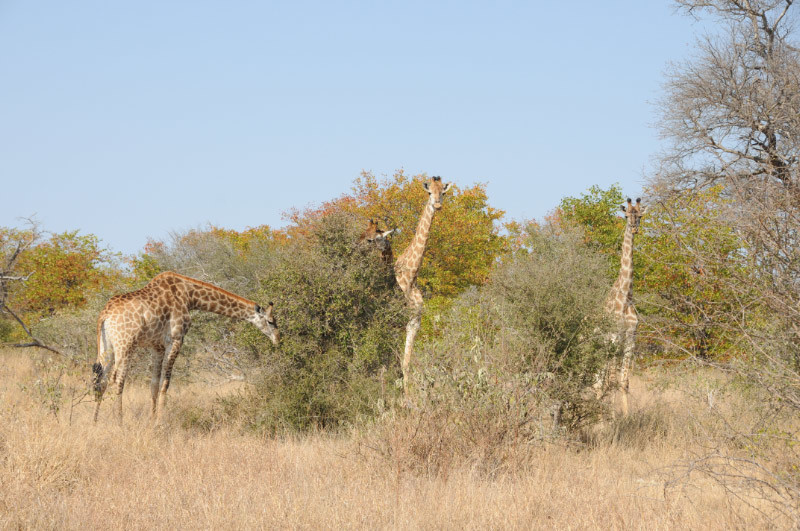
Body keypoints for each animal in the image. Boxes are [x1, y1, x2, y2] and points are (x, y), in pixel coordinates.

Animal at [90, 270, 276, 424]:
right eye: (271, 321)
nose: (278, 339)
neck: (190, 296)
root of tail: (104, 314)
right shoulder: (176, 339)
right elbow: (166, 383)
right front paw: (160, 422)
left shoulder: (157, 346)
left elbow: (154, 384)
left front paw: (152, 419)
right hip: (125, 344)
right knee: (116, 379)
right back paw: (118, 421)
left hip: (107, 347)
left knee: (101, 380)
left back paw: (95, 421)